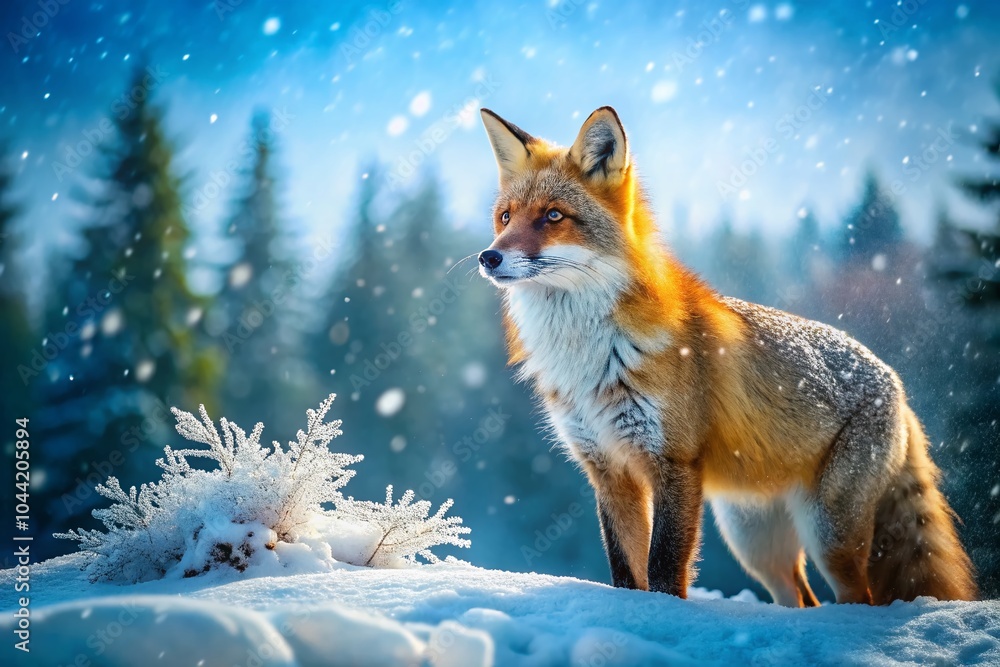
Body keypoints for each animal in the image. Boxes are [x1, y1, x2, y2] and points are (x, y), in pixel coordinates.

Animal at [476, 106, 977, 606]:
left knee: (859, 598)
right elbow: (626, 570)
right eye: (505, 217)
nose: (488, 257)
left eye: (553, 216)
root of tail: (895, 380)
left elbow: (664, 569)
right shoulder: (607, 469)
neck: (591, 356)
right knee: (802, 598)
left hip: (828, 536)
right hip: (755, 542)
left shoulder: (673, 462)